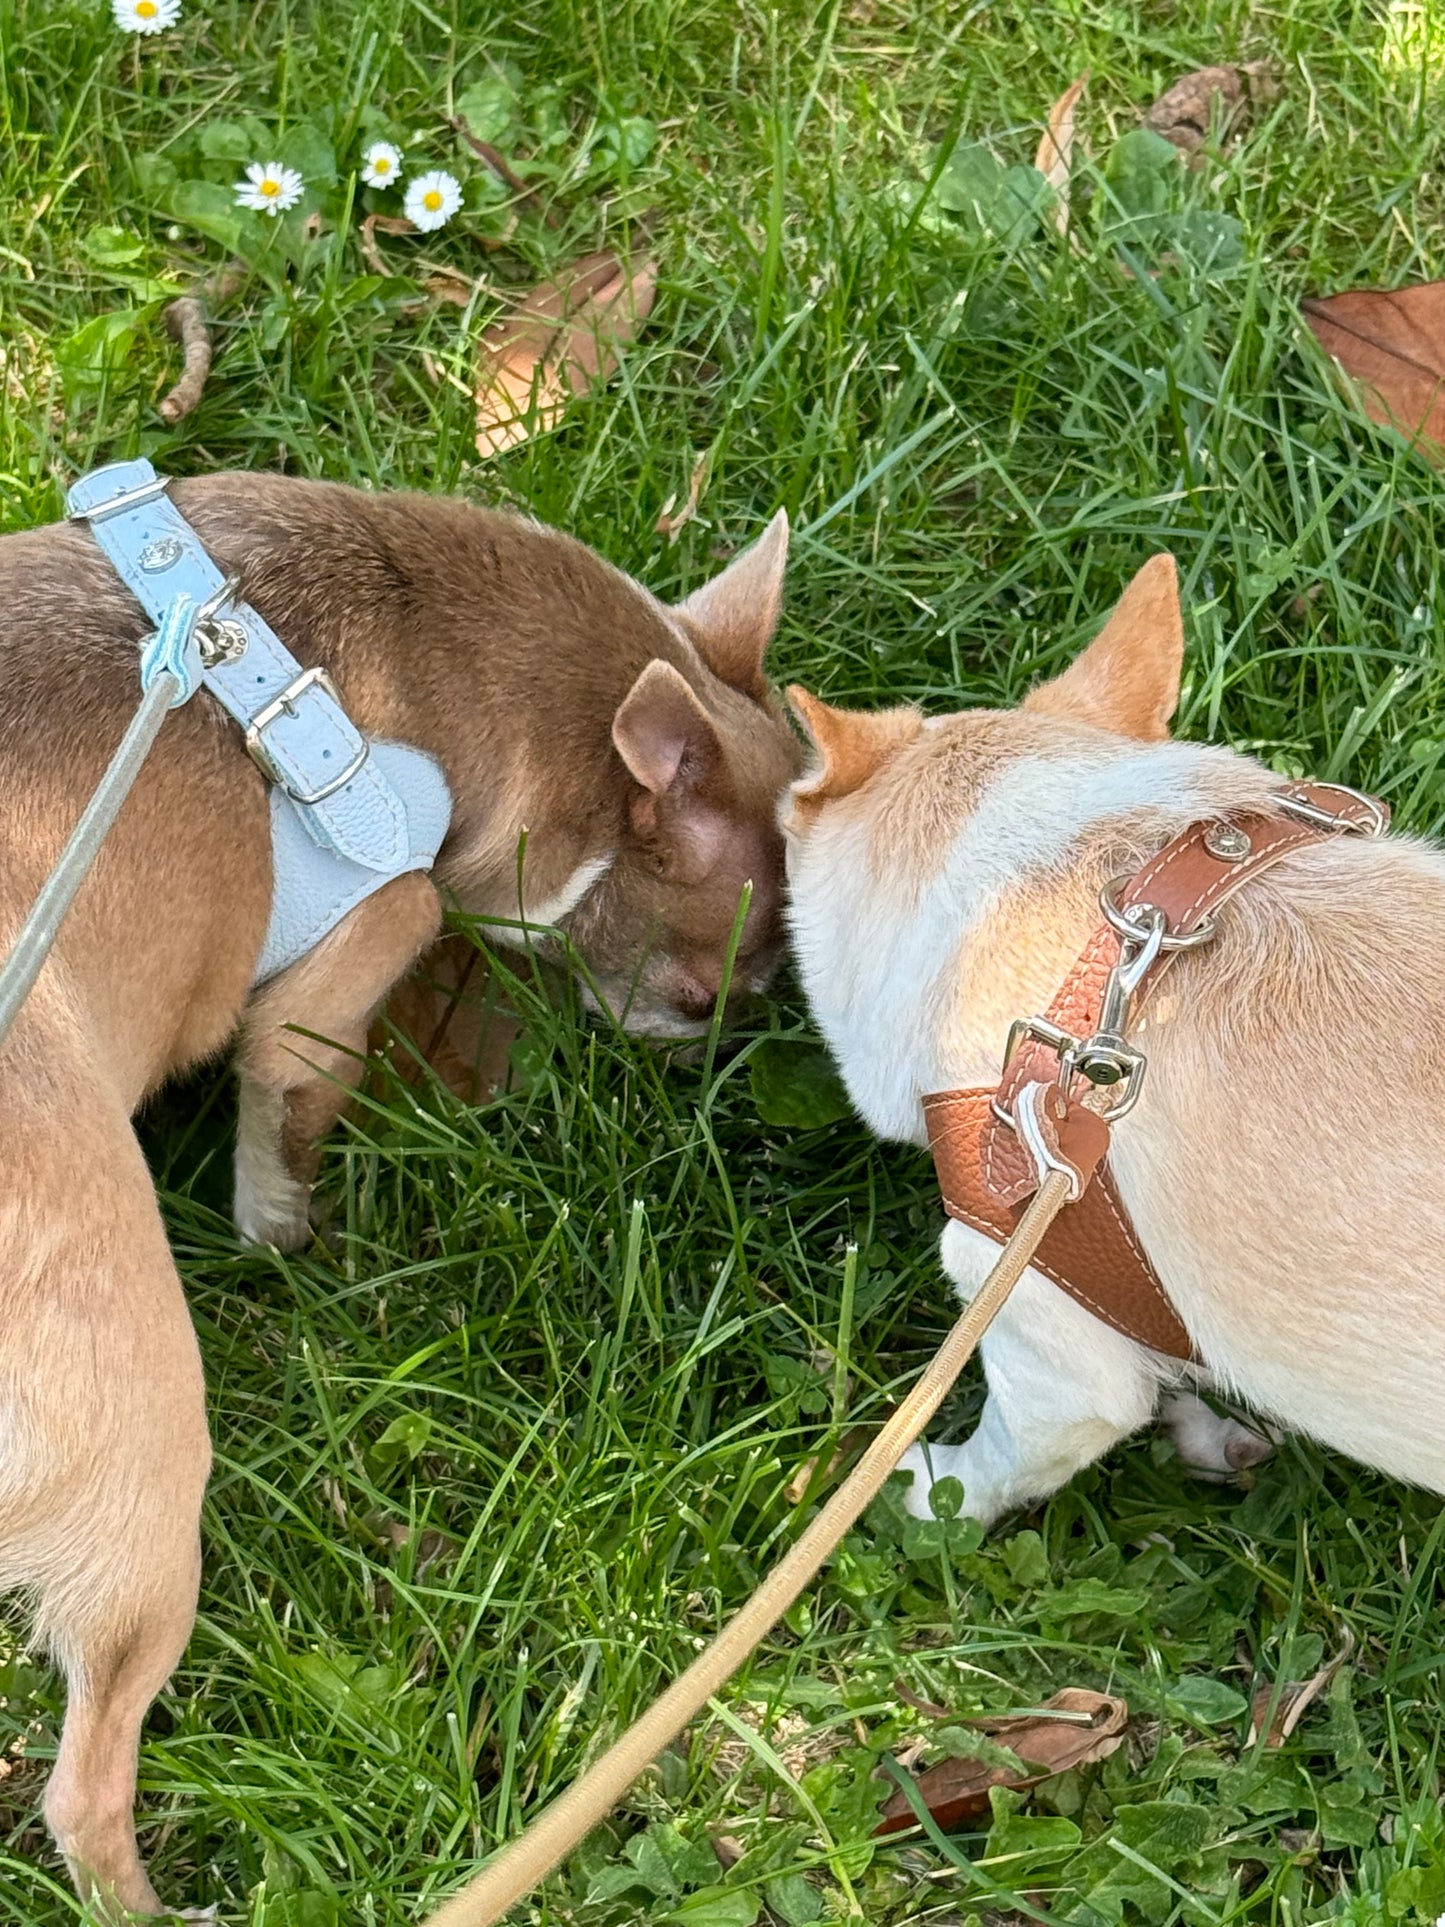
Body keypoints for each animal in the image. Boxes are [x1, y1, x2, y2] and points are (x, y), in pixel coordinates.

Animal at [0, 477, 805, 1911]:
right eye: (703, 993)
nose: (714, 1050)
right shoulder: (358, 956)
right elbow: (285, 1131)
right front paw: (292, 1238)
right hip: (139, 1457)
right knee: (85, 1779)